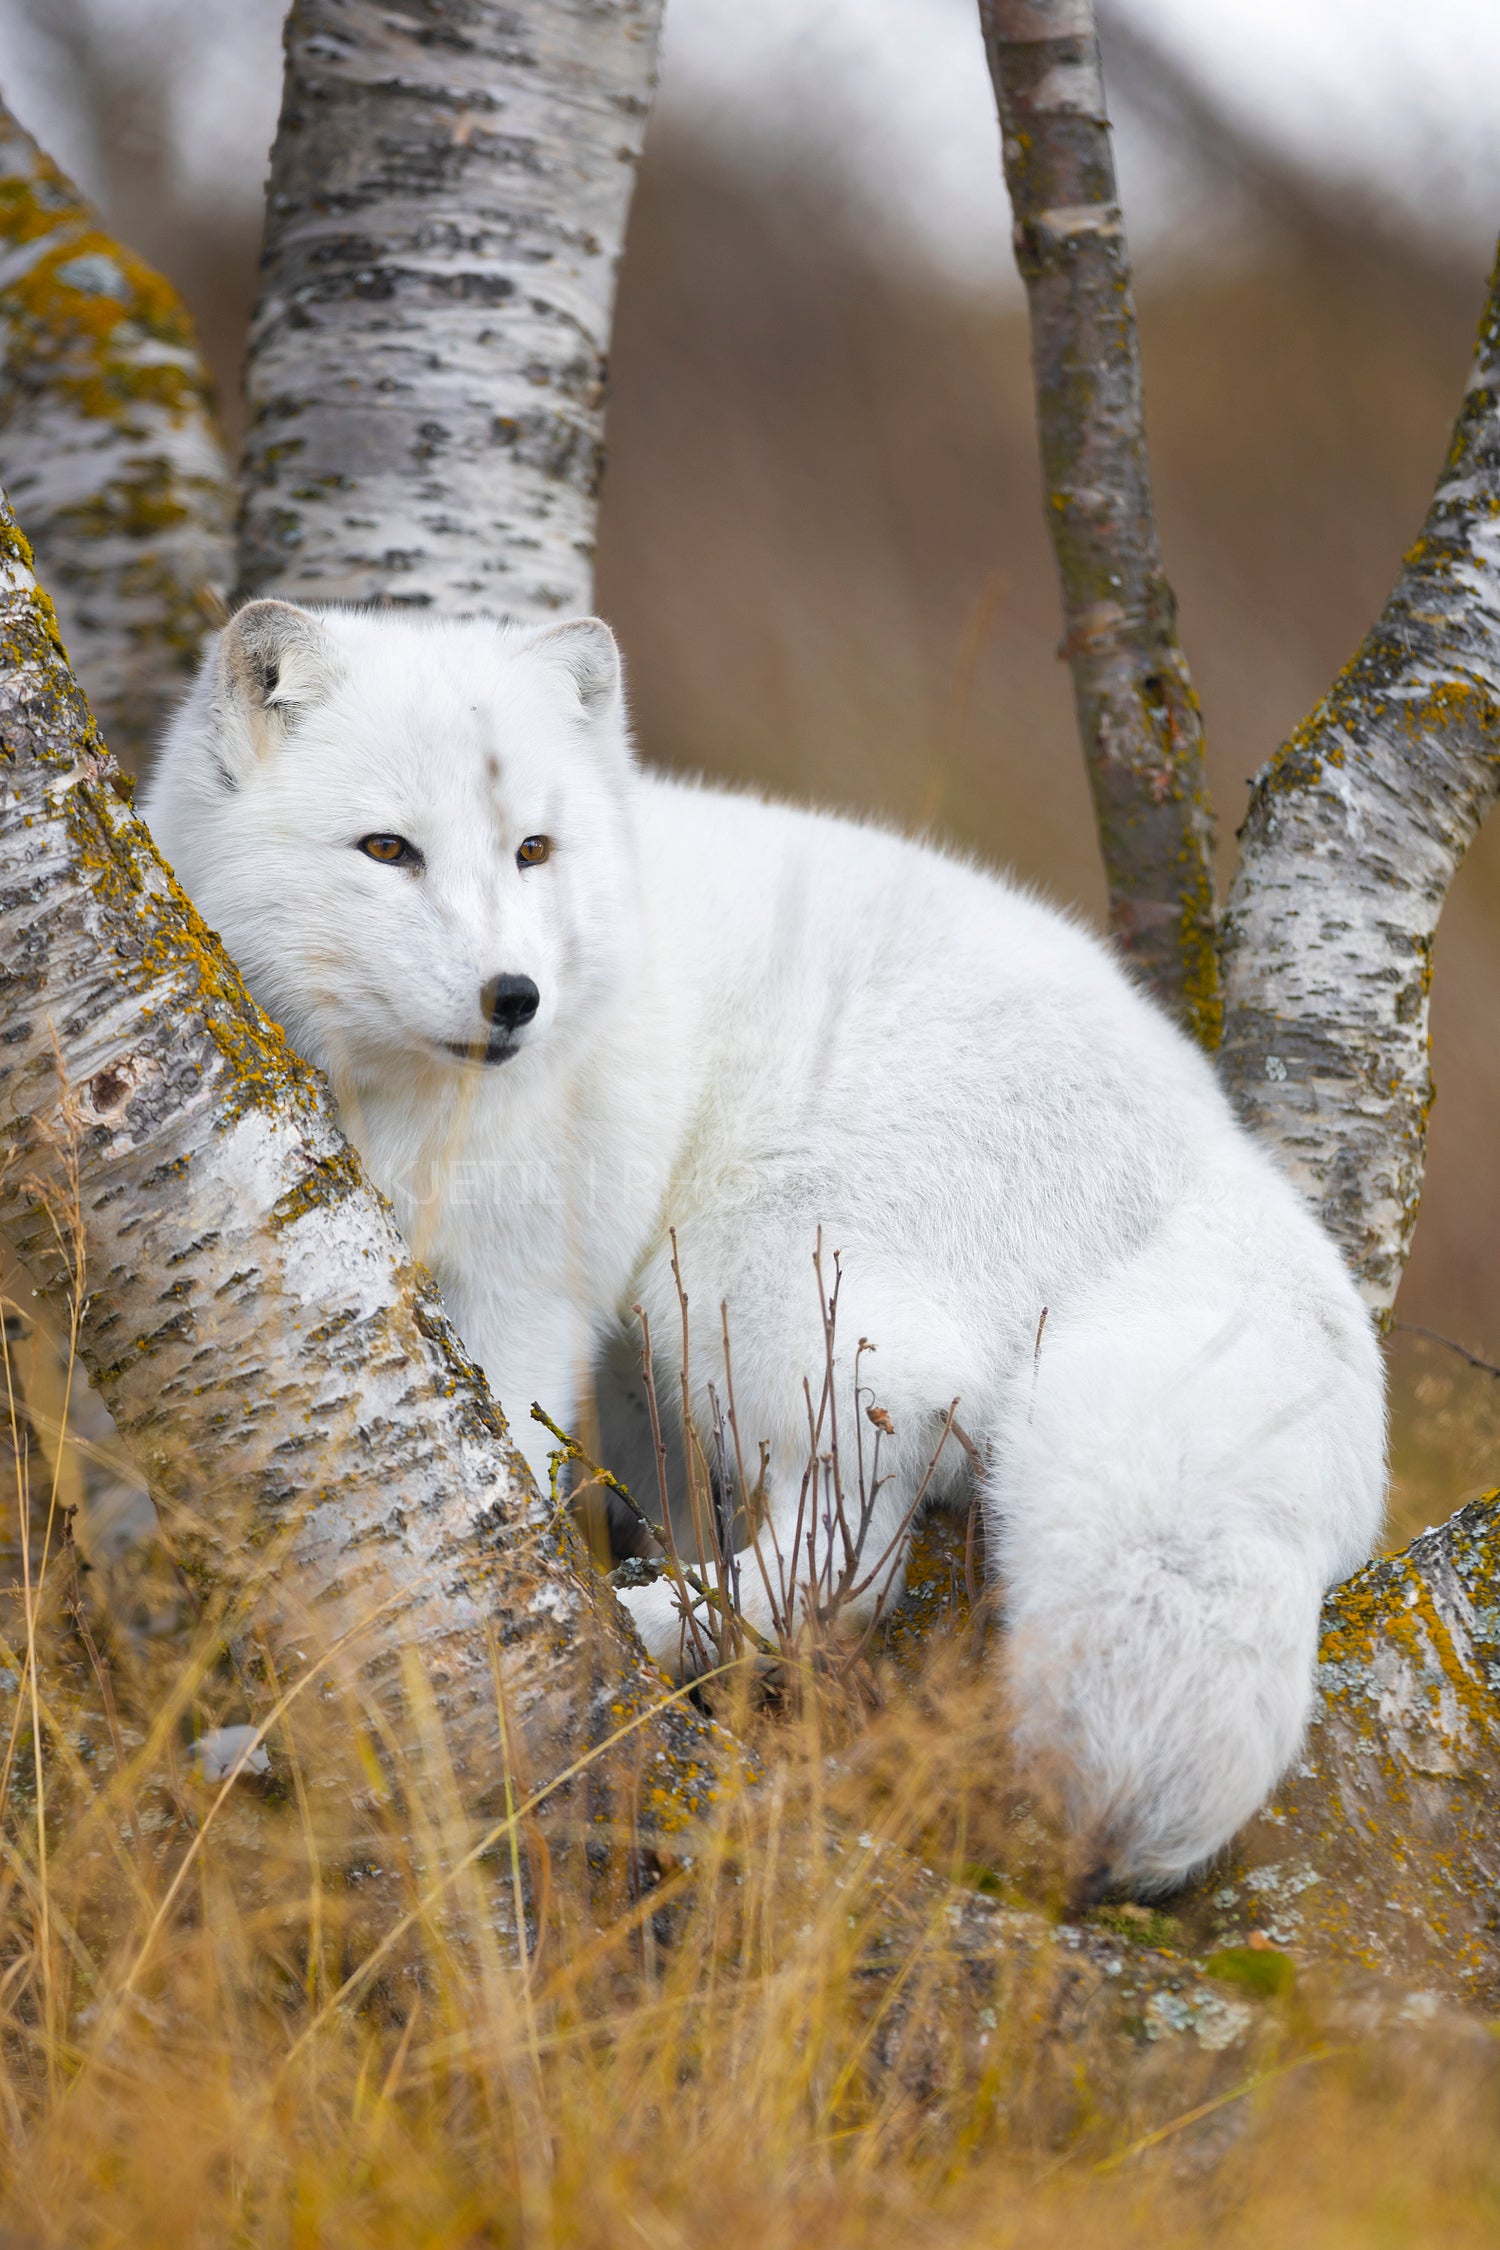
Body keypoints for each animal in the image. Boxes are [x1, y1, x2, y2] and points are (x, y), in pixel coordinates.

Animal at [143, 603, 1385, 1899]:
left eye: (533, 850)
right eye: (387, 850)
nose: (515, 996)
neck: (386, 1108)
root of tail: (1211, 1150)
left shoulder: (522, 1285)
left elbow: (484, 1516)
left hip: (756, 1283)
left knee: (840, 1572)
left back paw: (630, 1638)